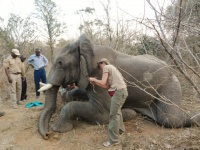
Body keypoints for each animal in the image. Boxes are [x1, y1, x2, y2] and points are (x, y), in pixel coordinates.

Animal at [38, 34, 200, 139]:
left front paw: (58, 129)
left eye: (60, 63)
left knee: (170, 118)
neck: (86, 47)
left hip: (169, 84)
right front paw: (66, 95)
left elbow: (102, 113)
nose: (46, 135)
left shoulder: (100, 74)